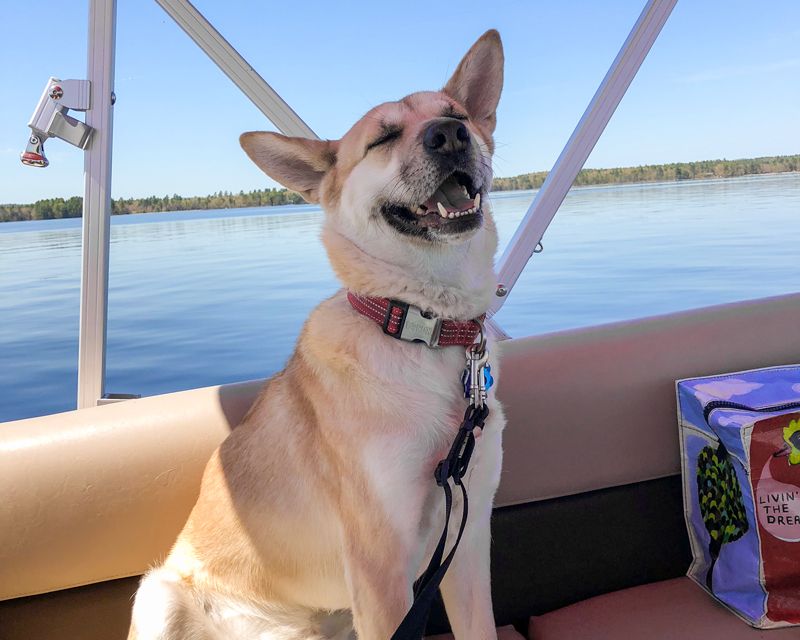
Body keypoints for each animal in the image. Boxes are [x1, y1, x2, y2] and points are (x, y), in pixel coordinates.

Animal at [130, 27, 506, 636]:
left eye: (458, 115)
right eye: (382, 138)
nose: (449, 135)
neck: (421, 329)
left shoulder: (467, 542)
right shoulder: (378, 568)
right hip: (156, 594)